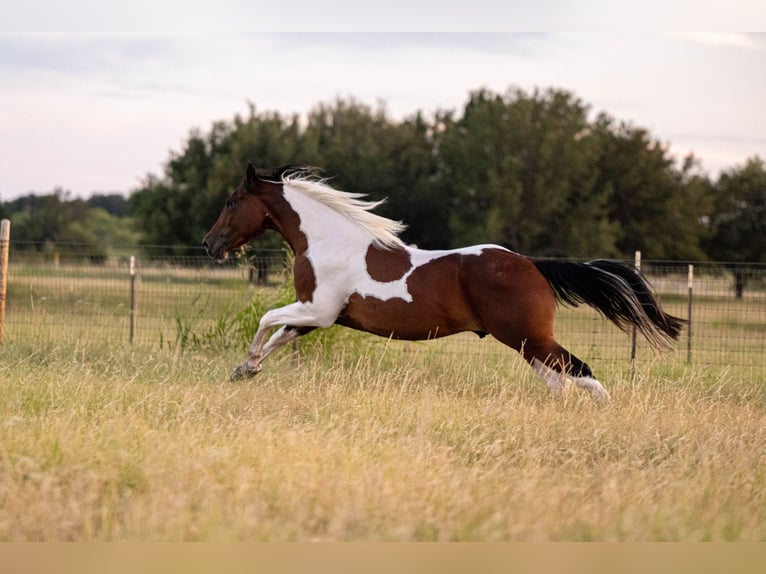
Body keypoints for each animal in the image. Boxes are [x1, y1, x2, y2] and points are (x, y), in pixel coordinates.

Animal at [202, 163, 684, 401]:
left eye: (231, 201)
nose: (209, 244)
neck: (326, 239)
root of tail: (531, 264)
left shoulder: (318, 310)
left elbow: (266, 319)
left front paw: (246, 364)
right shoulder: (316, 317)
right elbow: (279, 333)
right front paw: (245, 370)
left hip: (530, 338)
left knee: (581, 374)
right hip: (528, 344)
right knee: (560, 383)